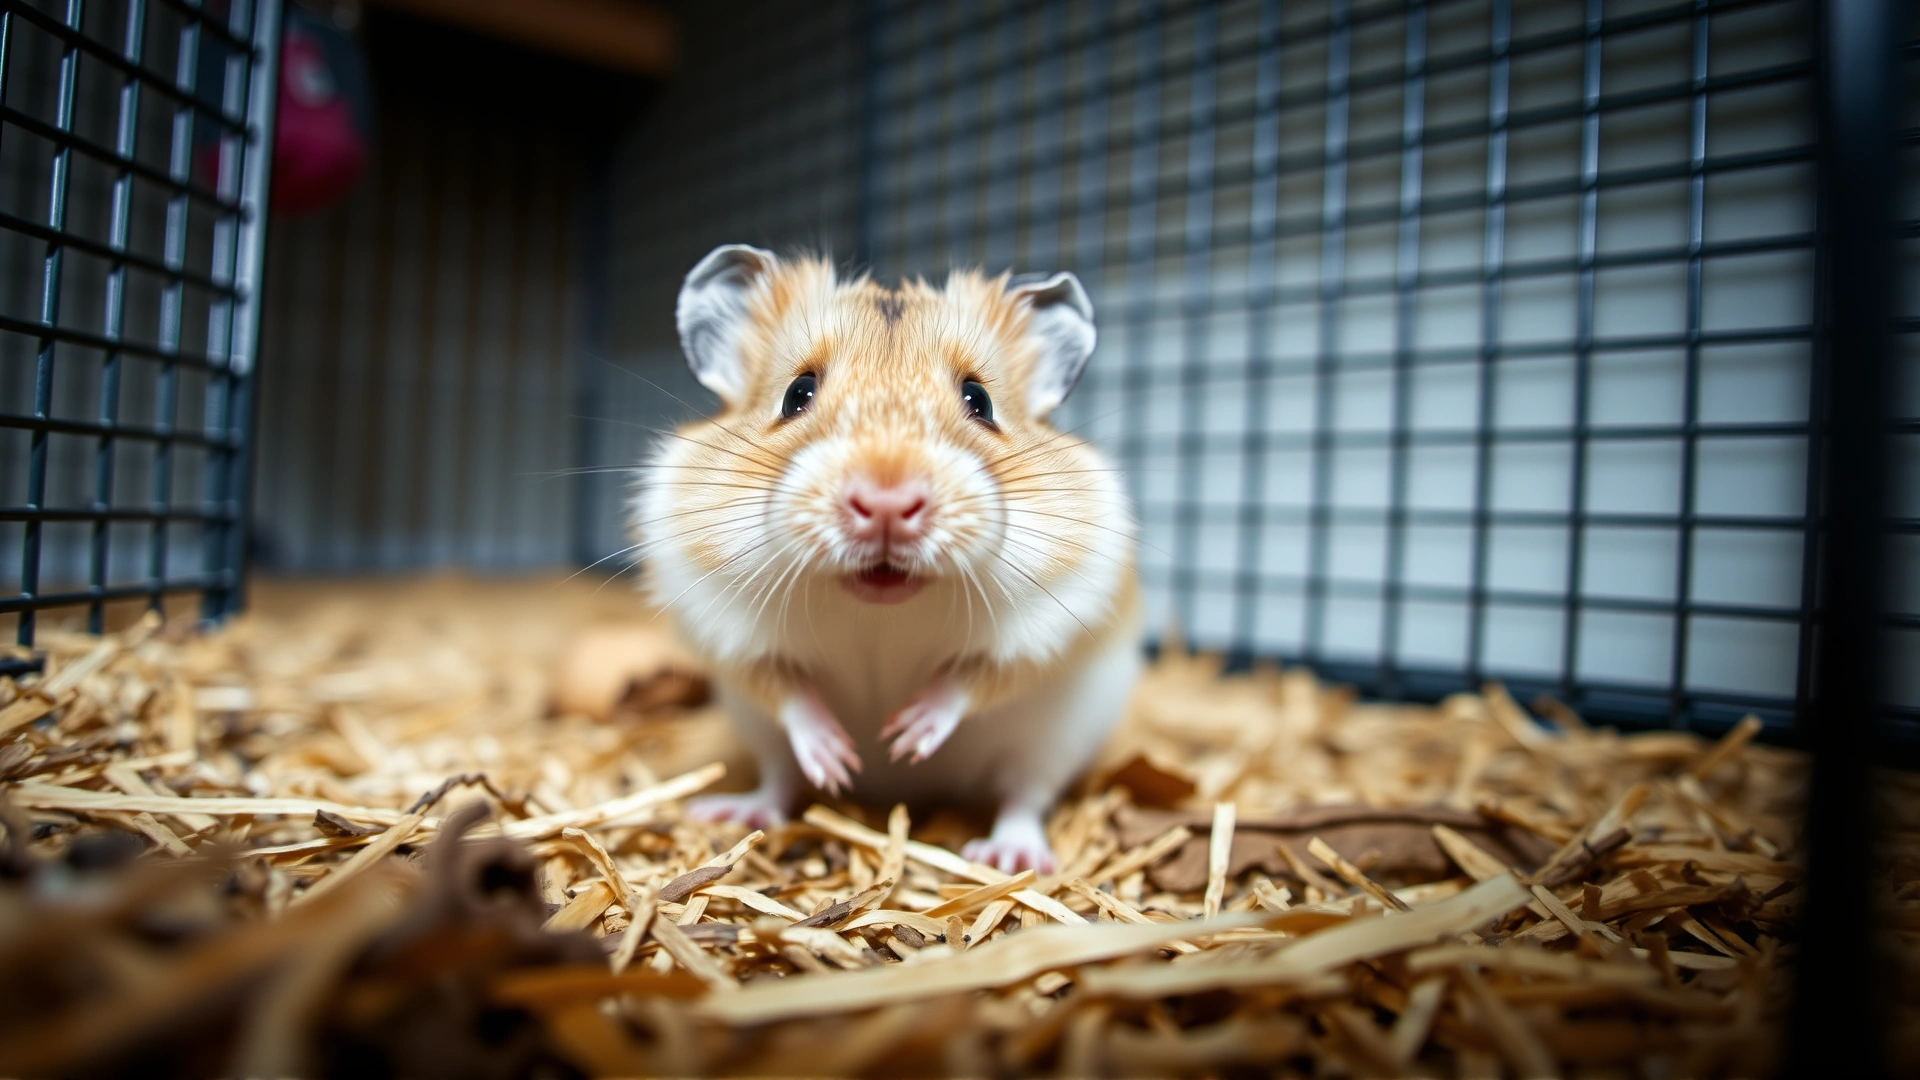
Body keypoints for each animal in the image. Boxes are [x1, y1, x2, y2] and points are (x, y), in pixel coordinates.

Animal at [630, 245, 1140, 873]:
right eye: (797, 393)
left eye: (980, 400)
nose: (887, 503)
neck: (880, 607)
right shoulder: (726, 627)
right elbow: (787, 688)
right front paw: (840, 756)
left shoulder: (1049, 625)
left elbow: (974, 677)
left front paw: (905, 733)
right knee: (779, 778)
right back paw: (739, 810)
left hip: (1052, 739)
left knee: (1024, 795)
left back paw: (1011, 856)